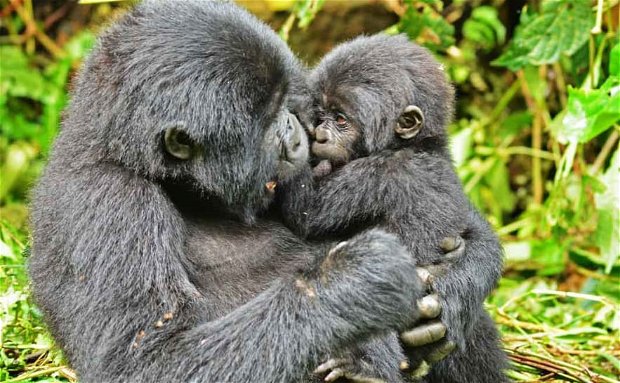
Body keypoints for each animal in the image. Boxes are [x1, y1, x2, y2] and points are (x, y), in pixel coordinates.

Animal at [278, 34, 506, 382]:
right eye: (322, 113)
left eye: (340, 120)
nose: (318, 136)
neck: (417, 145)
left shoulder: (382, 172)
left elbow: (306, 212)